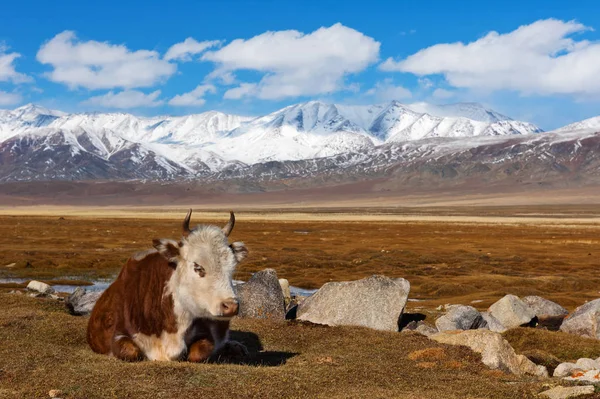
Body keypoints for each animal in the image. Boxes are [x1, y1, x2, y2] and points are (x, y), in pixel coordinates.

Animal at [86, 211, 248, 364]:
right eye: (198, 267)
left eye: (232, 267)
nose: (231, 306)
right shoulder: (118, 333)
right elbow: (130, 351)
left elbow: (199, 352)